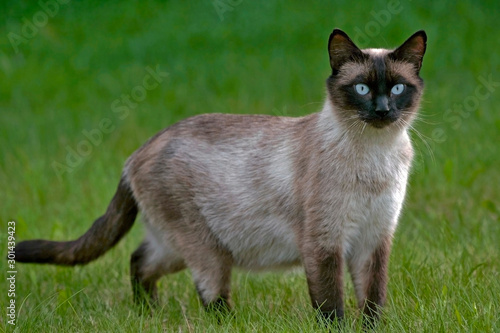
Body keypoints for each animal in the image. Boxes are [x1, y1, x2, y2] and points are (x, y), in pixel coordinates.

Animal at [14, 27, 426, 324]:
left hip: (174, 247)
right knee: (209, 296)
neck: (375, 156)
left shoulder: (373, 240)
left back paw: (148, 314)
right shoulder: (325, 243)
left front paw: (371, 327)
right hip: (206, 249)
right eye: (362, 88)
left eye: (397, 88)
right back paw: (220, 321)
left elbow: (372, 303)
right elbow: (332, 308)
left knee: (139, 261)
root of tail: (136, 154)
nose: (382, 110)